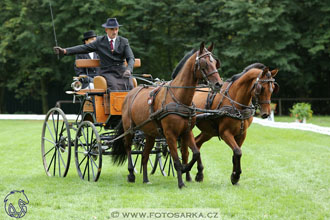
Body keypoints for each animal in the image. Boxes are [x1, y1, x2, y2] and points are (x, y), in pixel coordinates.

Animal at [112, 42, 223, 188]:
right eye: (204, 63)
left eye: (215, 63)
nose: (218, 84)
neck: (179, 98)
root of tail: (129, 94)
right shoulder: (170, 135)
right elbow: (176, 160)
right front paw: (181, 182)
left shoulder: (187, 132)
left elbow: (194, 153)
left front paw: (186, 170)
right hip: (129, 129)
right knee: (128, 148)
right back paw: (131, 174)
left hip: (150, 134)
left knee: (145, 155)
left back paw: (146, 179)